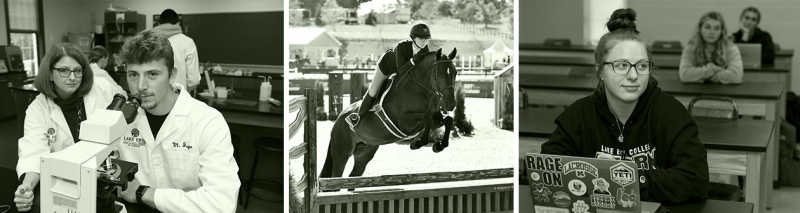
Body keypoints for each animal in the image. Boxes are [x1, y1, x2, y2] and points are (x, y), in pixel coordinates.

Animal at [318, 48, 456, 183]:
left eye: (454, 72)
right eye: (440, 74)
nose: (451, 104)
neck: (420, 90)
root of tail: (338, 120)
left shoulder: (435, 116)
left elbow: (447, 119)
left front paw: (439, 145)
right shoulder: (404, 121)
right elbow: (427, 118)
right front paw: (419, 143)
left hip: (365, 151)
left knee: (354, 175)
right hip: (342, 152)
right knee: (336, 176)